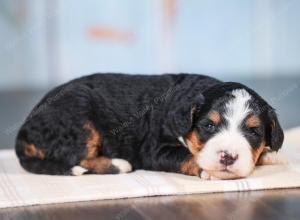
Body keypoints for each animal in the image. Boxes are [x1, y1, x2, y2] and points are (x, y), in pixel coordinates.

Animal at [15, 73, 284, 180]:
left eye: (253, 132)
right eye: (209, 125)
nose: (228, 156)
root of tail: (24, 130)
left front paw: (269, 155)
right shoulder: (155, 149)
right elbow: (187, 156)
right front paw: (208, 170)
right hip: (78, 117)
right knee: (78, 157)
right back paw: (118, 164)